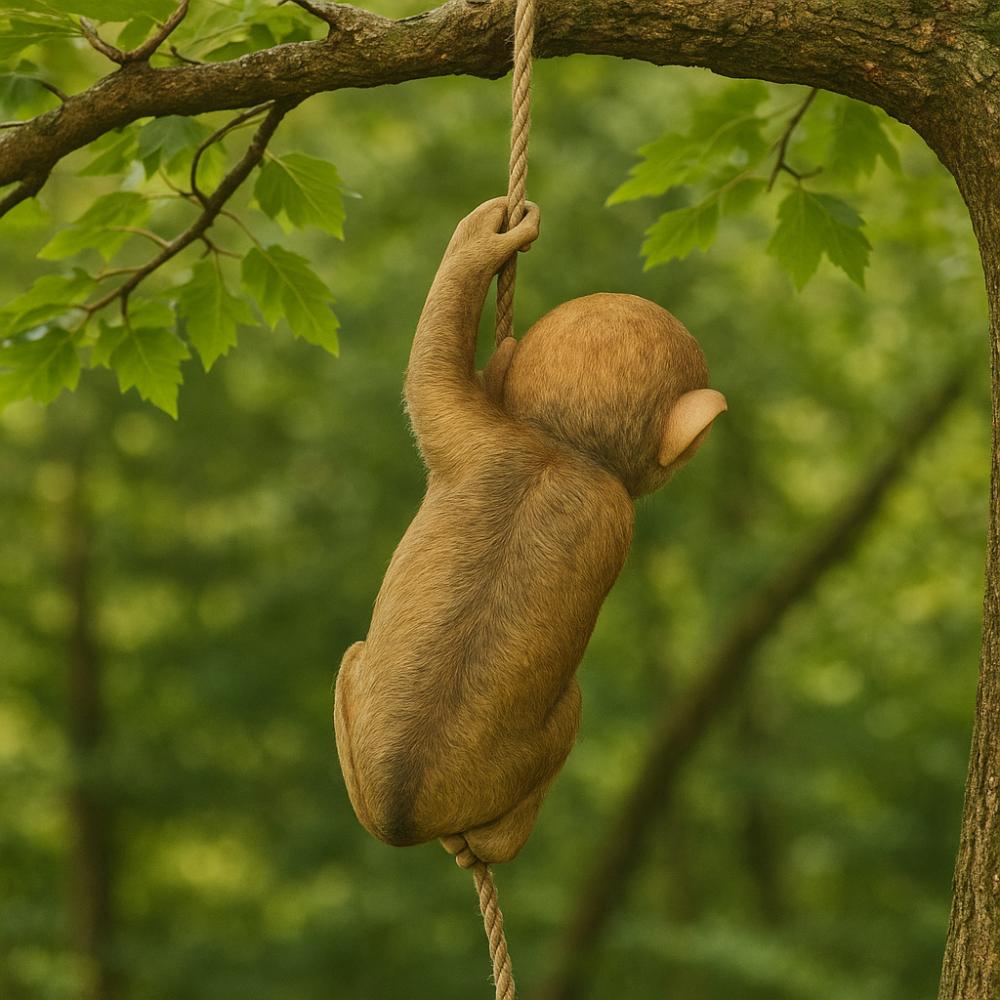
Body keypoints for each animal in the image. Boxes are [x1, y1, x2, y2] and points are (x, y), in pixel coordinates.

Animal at [334, 197, 726, 865]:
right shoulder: (586, 497)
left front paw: (479, 241)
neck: (561, 451)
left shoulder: (480, 435)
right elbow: (429, 367)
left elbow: (429, 366)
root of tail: (405, 811)